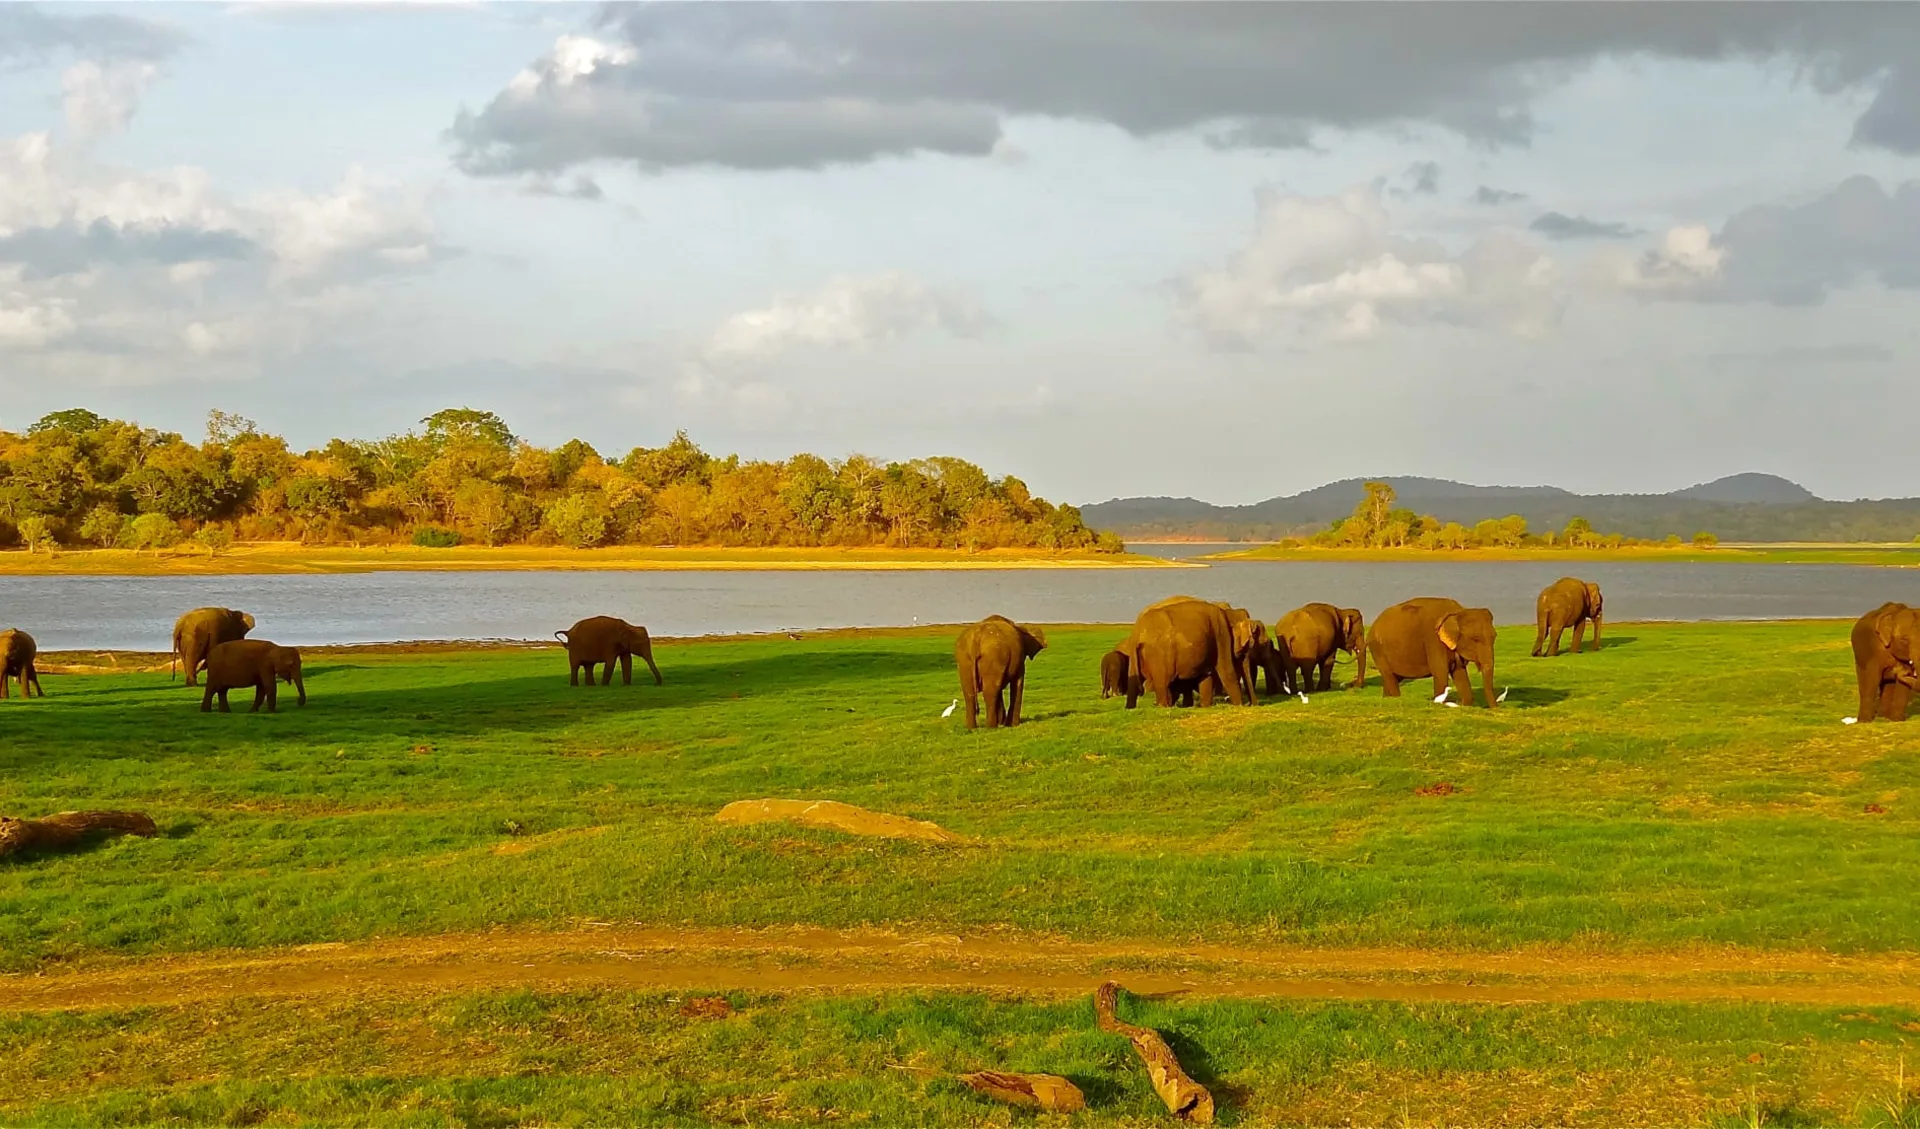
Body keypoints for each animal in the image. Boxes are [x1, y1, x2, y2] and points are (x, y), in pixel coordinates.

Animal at [1367, 599, 1497, 706]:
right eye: (1475, 639)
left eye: (1494, 637)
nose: (1495, 708)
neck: (1458, 612)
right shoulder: (1433, 641)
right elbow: (1440, 672)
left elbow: (1459, 673)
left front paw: (1465, 704)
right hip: (1377, 649)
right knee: (1389, 676)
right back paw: (1395, 699)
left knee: (1393, 678)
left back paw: (1386, 699)